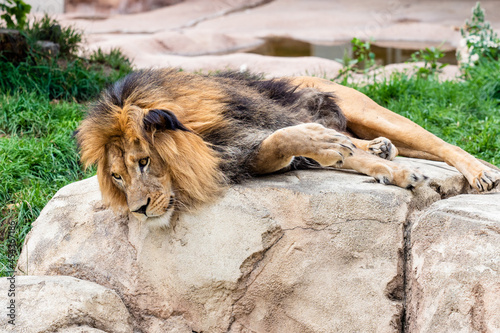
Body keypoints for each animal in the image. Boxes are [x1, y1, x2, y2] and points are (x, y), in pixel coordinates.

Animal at [75, 68, 500, 227]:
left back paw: (482, 173)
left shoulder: (272, 118)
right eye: (117, 176)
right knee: (366, 142)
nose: (139, 210)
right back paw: (379, 149)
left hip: (368, 109)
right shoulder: (250, 156)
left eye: (144, 162)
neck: (207, 139)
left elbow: (296, 134)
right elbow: (297, 145)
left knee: (444, 143)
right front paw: (368, 161)